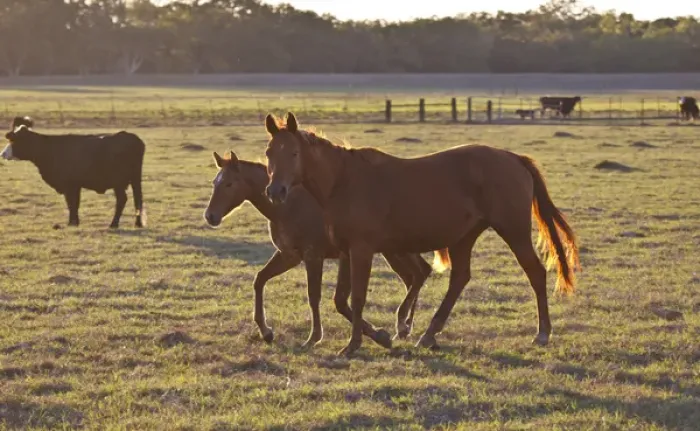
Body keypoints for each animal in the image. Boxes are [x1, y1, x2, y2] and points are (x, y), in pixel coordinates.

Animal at [203, 150, 435, 348]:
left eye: (229, 184)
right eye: (215, 182)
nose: (210, 216)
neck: (289, 206)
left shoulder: (313, 255)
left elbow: (315, 295)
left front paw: (314, 337)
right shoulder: (289, 256)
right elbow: (260, 280)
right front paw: (266, 331)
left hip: (397, 251)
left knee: (419, 274)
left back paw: (404, 325)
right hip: (395, 252)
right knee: (416, 275)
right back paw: (405, 328)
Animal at [264, 112, 580, 356]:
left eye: (293, 153)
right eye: (269, 153)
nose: (275, 191)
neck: (344, 181)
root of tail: (514, 158)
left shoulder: (361, 250)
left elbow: (358, 298)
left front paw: (354, 345)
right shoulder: (345, 251)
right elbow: (341, 299)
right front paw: (381, 335)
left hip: (513, 231)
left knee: (535, 272)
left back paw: (542, 333)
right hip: (464, 237)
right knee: (459, 279)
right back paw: (429, 334)